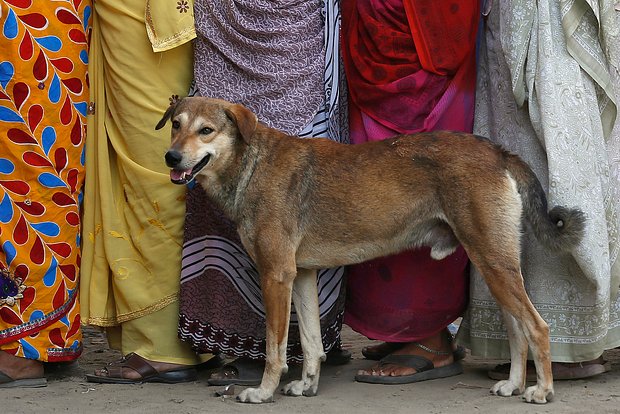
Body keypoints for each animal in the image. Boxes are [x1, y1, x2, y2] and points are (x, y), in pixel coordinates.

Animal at [159, 95, 588, 402]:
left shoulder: (275, 276)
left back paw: (542, 390)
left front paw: (263, 392)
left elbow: (275, 348)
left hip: (495, 265)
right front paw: (307, 385)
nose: (171, 156)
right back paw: (513, 384)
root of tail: (497, 151)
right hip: (494, 266)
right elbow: (312, 343)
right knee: (518, 330)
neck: (252, 164)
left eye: (206, 130)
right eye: (175, 126)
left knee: (538, 327)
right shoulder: (302, 275)